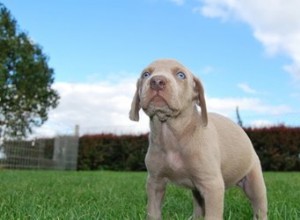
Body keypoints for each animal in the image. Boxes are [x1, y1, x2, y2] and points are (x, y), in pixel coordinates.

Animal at [129, 59, 268, 219]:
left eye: (181, 75)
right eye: (146, 74)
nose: (157, 81)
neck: (171, 134)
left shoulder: (212, 185)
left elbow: (212, 215)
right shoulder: (155, 182)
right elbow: (153, 212)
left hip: (254, 181)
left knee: (259, 207)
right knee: (198, 205)